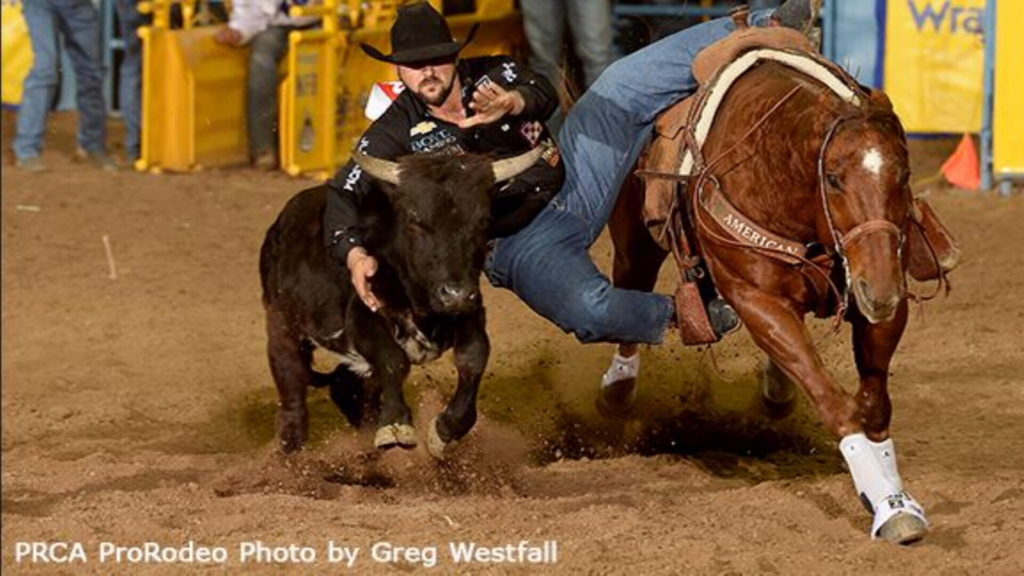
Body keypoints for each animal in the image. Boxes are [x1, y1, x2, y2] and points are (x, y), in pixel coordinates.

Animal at [606, 51, 937, 541]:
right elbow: (836, 402)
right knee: (630, 291)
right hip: (636, 242)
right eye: (833, 177)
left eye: (906, 173)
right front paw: (887, 504)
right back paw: (618, 388)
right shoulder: (756, 299)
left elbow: (875, 406)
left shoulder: (880, 289)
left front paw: (897, 495)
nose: (879, 291)